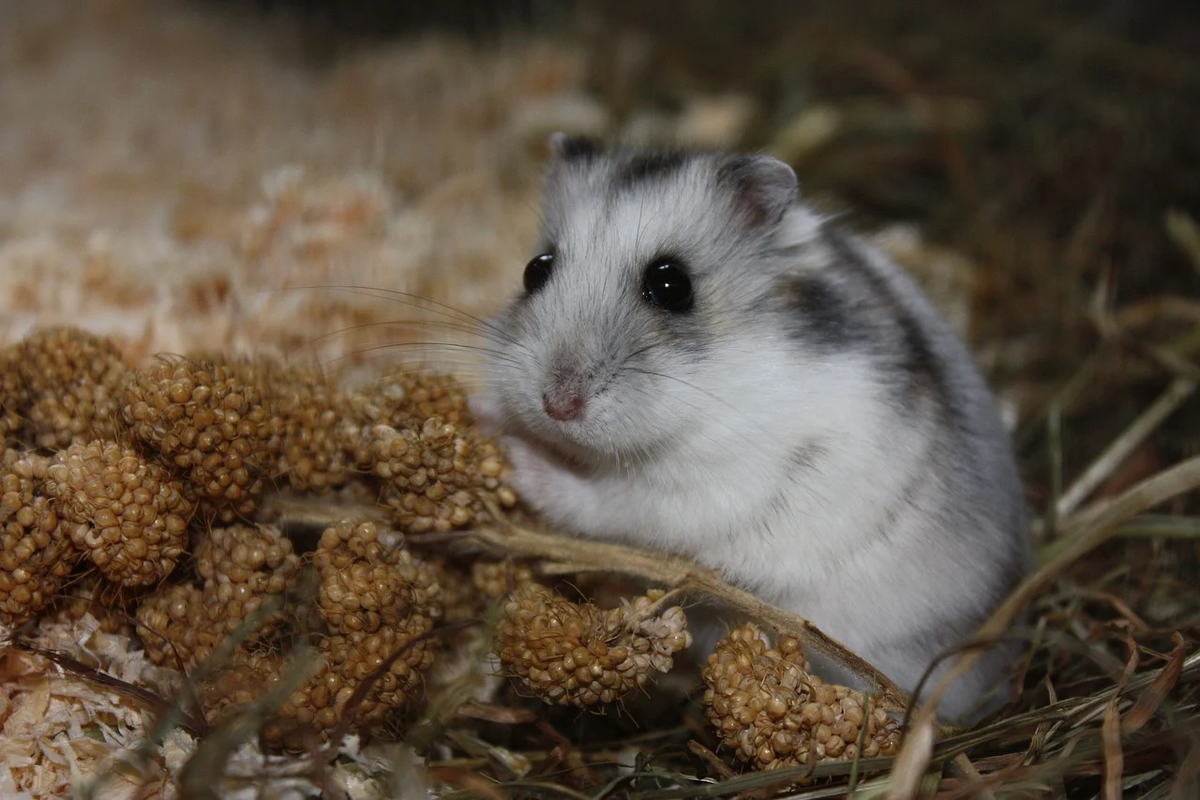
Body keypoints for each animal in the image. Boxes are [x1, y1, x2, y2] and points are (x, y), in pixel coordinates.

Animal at [468, 134, 1032, 724]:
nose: (557, 404)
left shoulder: (697, 490)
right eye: (534, 270)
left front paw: (514, 453)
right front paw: (483, 412)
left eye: (672, 284)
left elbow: (596, 501)